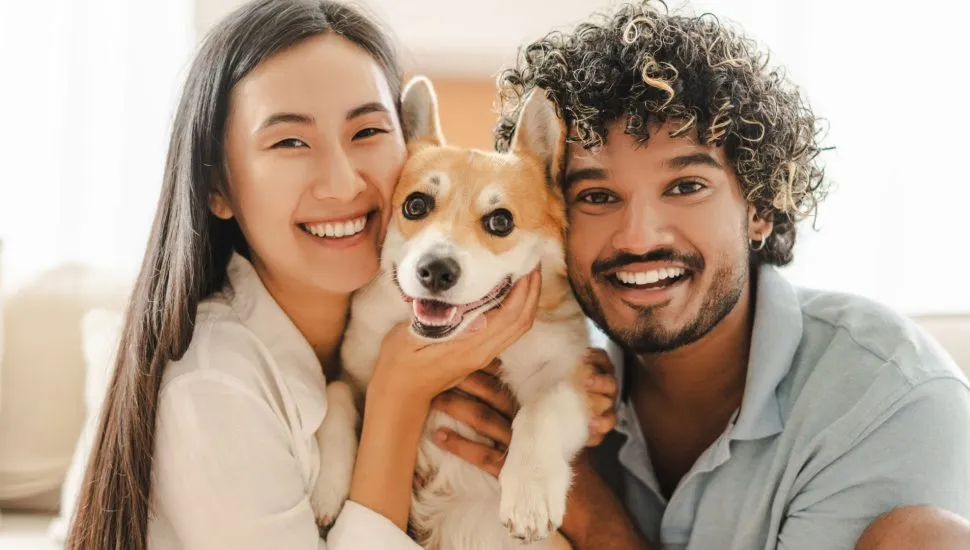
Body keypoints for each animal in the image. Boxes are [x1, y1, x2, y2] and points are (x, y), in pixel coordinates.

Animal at [314, 74, 592, 550]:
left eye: (500, 221)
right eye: (416, 205)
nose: (436, 271)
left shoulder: (571, 377)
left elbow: (540, 411)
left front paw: (529, 491)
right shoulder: (356, 373)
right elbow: (336, 393)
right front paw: (330, 483)